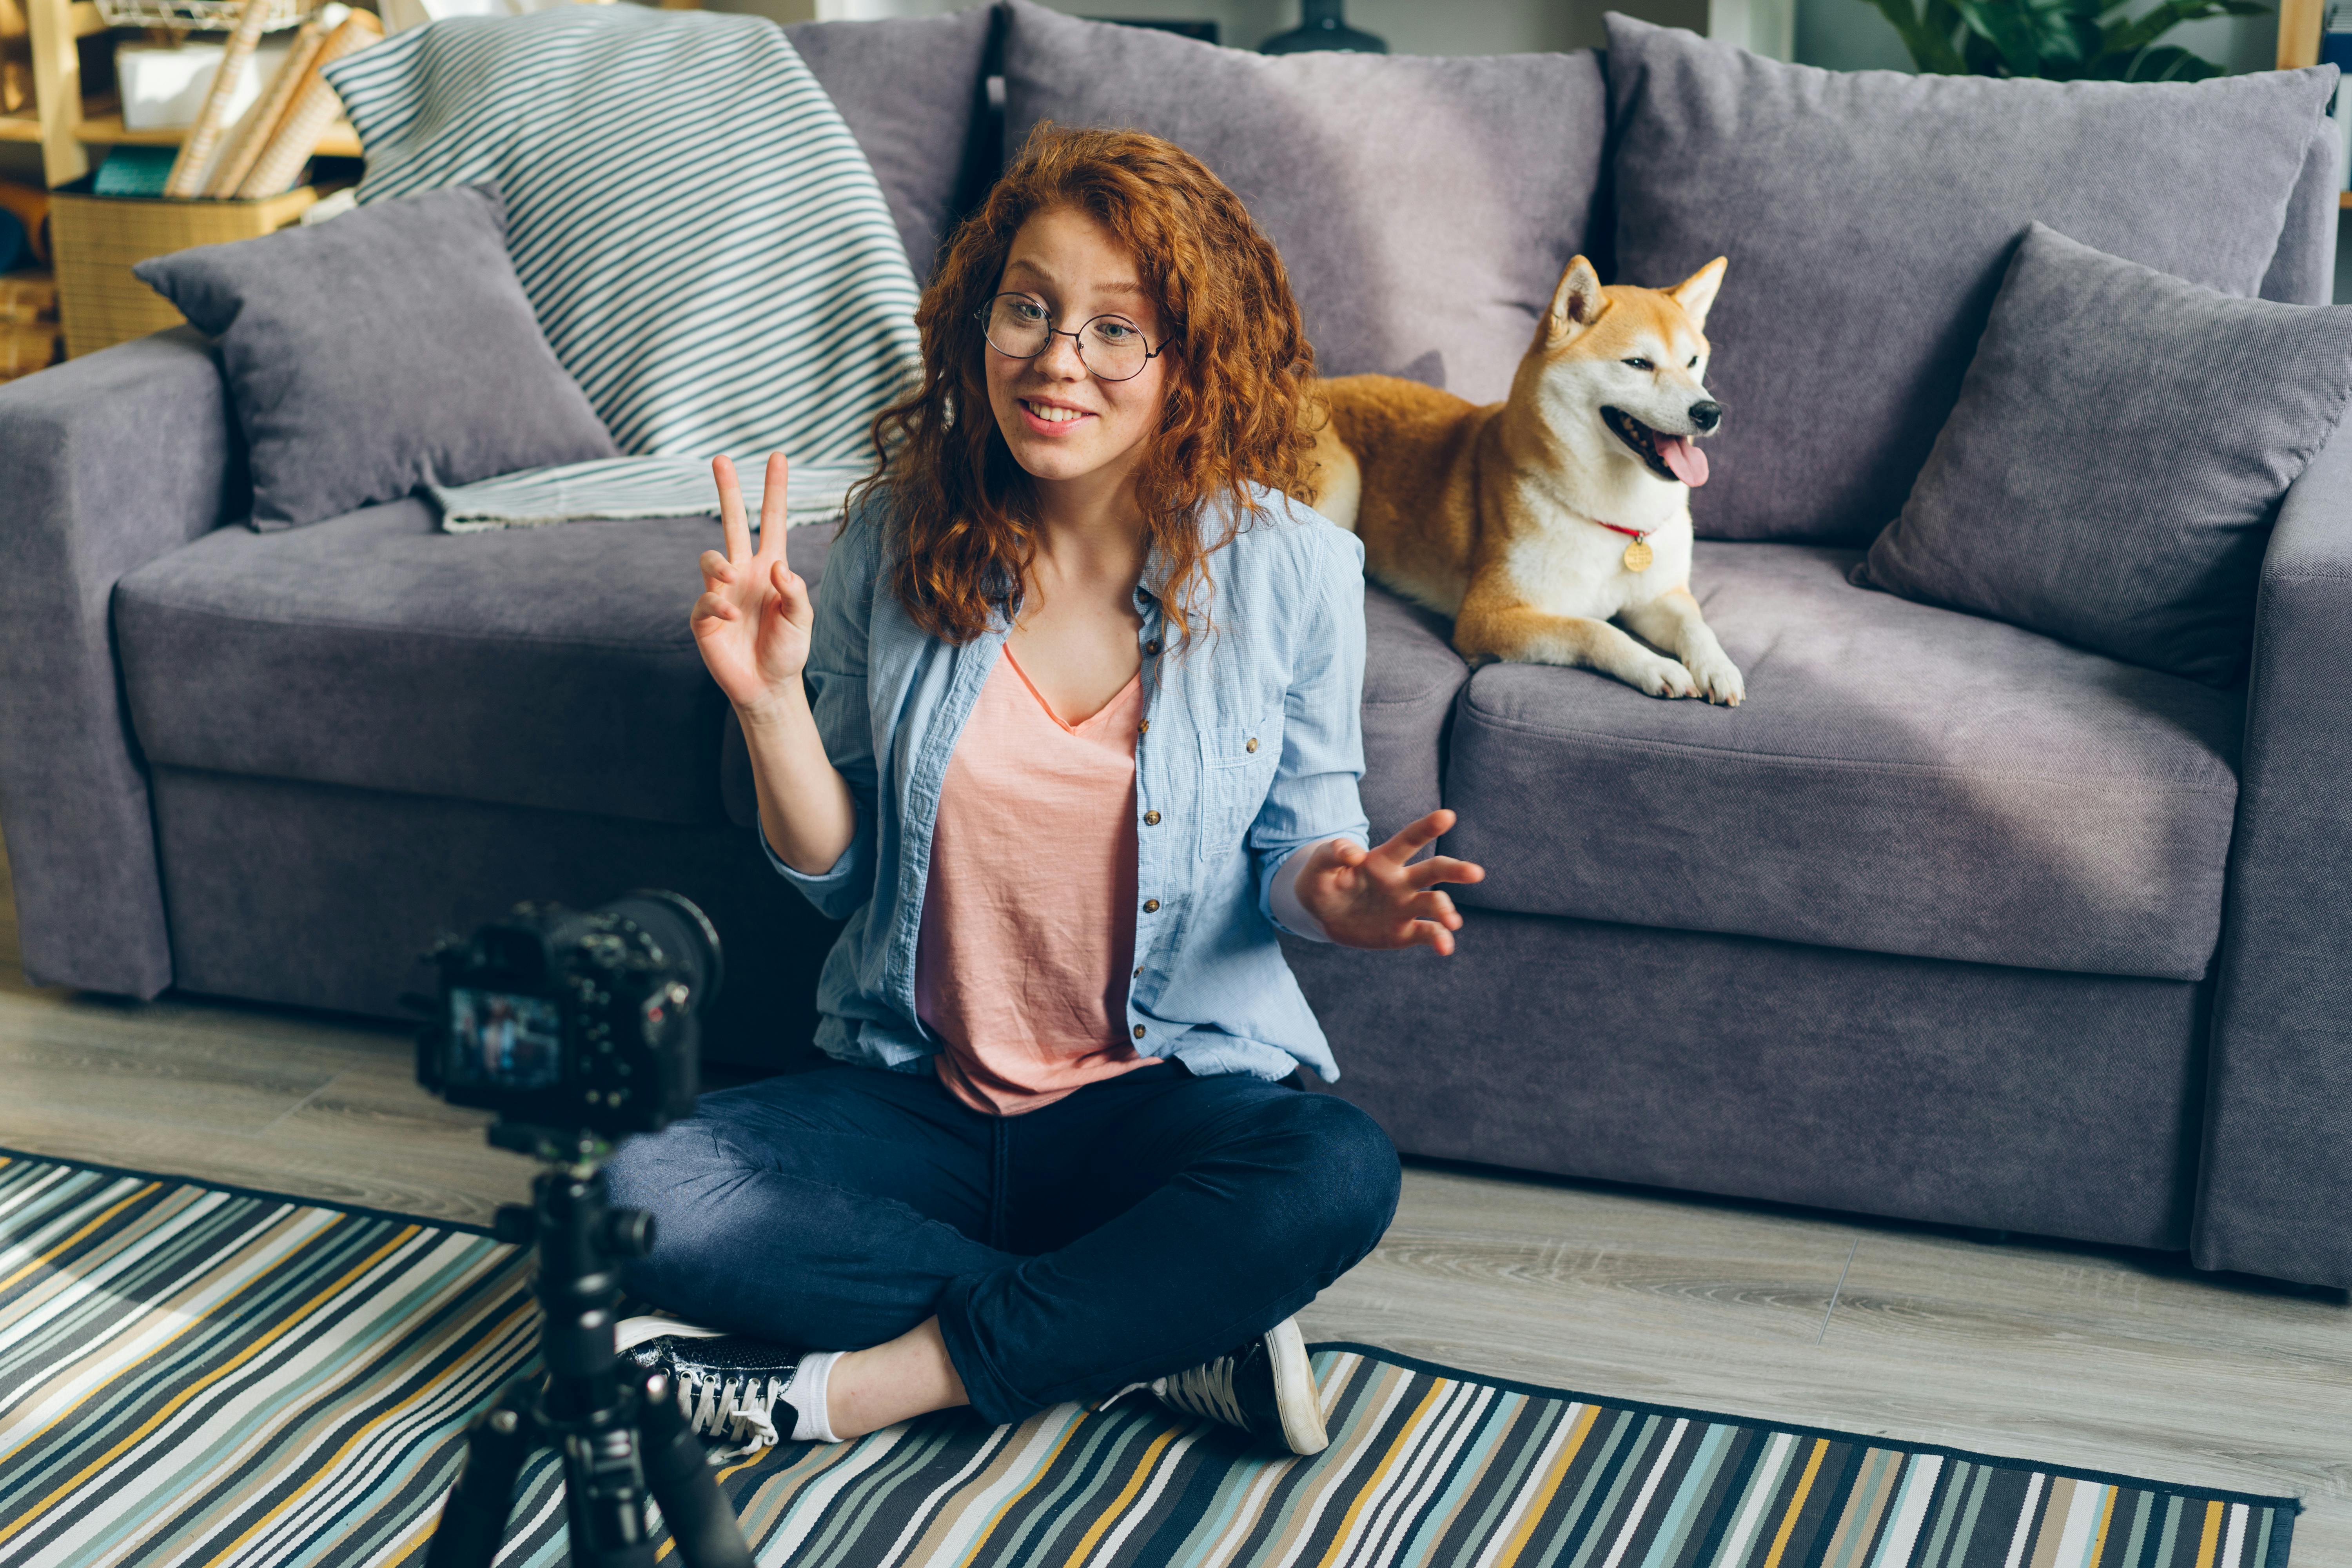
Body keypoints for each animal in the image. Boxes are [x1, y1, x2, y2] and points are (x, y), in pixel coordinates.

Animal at [1308, 252, 1750, 705]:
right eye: (1639, 364)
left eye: (1693, 362)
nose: (1709, 411)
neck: (1620, 520)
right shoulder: (1487, 617)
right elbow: (1595, 629)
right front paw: (1656, 666)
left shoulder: (1660, 597)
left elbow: (1695, 623)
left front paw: (1718, 666)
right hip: (1343, 485)